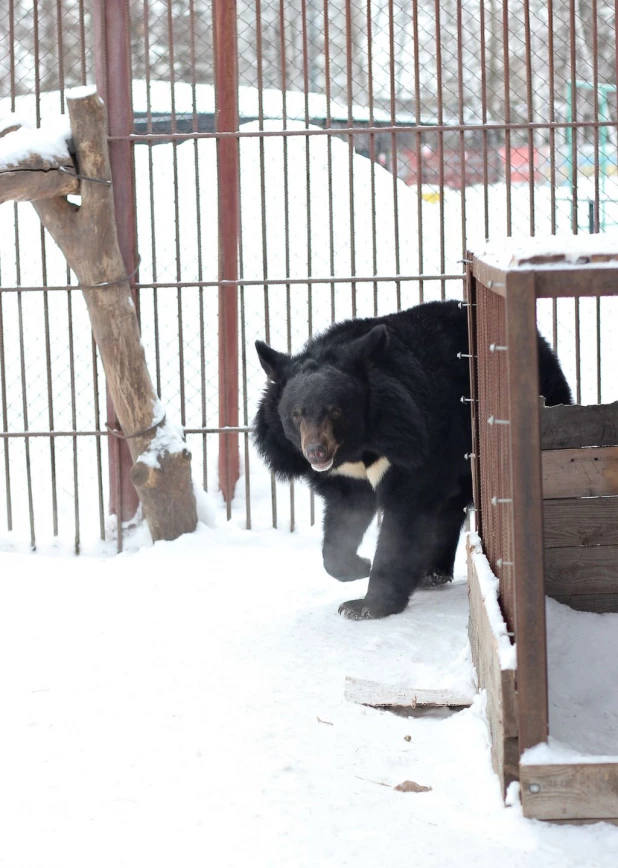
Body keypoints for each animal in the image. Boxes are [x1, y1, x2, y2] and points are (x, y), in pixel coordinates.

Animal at [253, 302, 572, 620]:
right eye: (296, 414)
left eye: (336, 411)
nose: (316, 452)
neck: (358, 447)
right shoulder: (346, 476)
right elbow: (344, 518)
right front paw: (359, 567)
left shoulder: (413, 443)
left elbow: (404, 518)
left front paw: (366, 605)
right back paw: (431, 572)